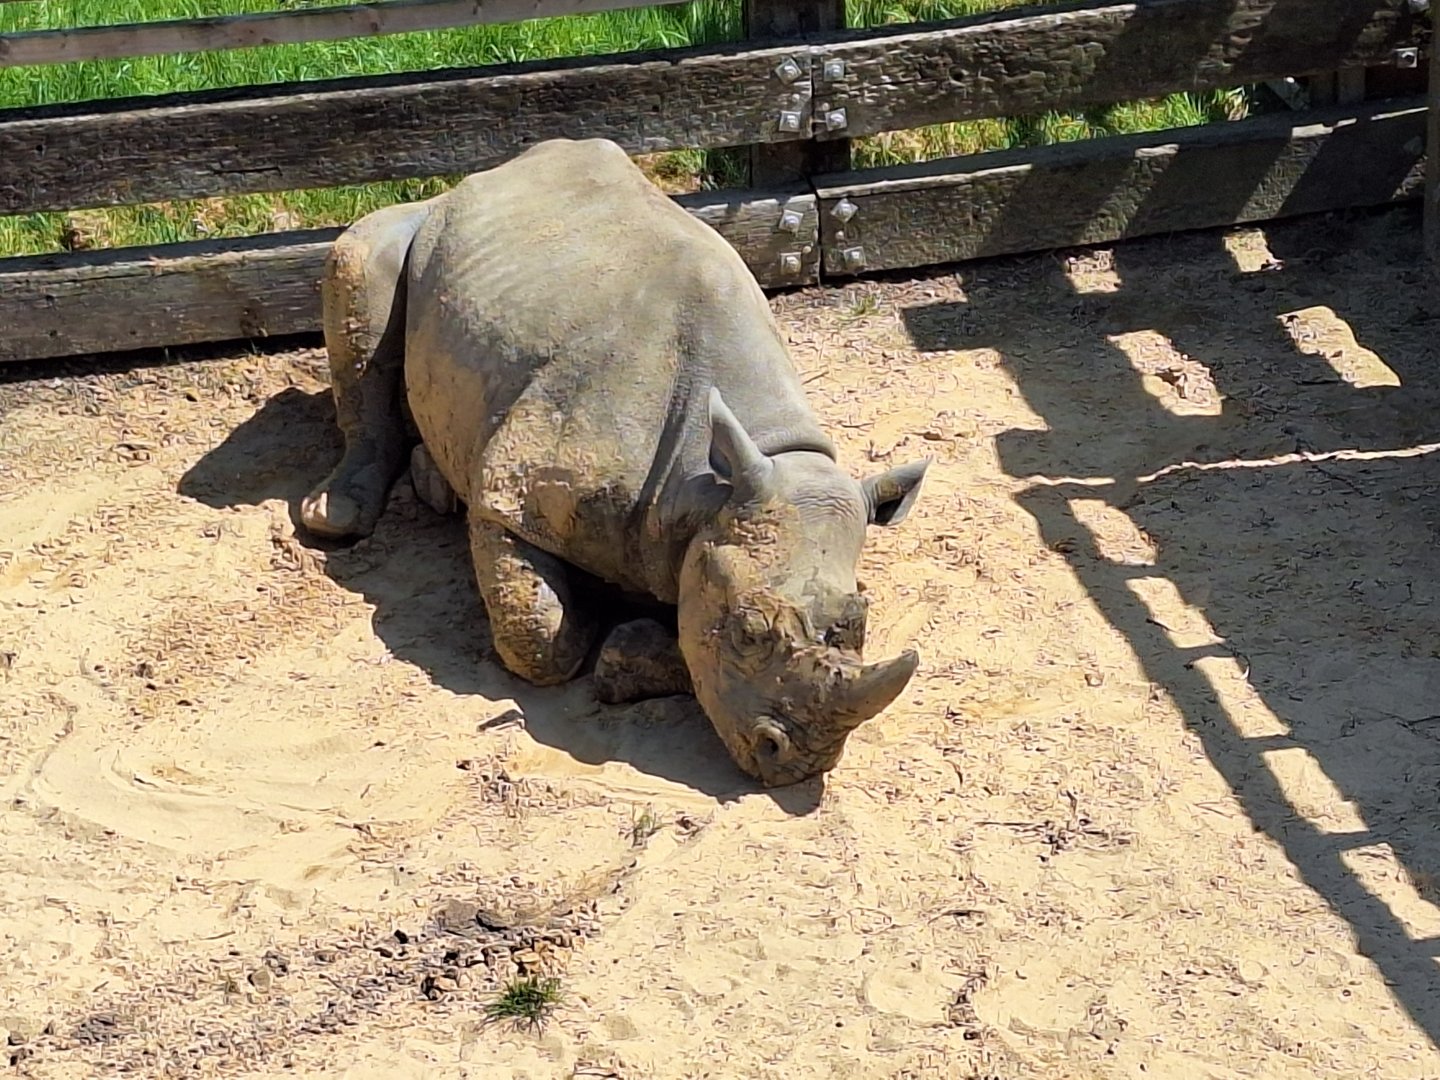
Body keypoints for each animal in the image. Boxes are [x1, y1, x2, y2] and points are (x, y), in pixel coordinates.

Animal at [299, 138, 930, 787]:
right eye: (747, 632)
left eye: (859, 618)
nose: (798, 765)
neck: (711, 486)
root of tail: (499, 171)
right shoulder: (510, 500)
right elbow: (538, 635)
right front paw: (594, 627)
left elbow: (685, 626)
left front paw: (629, 653)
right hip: (415, 227)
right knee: (359, 264)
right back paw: (334, 515)